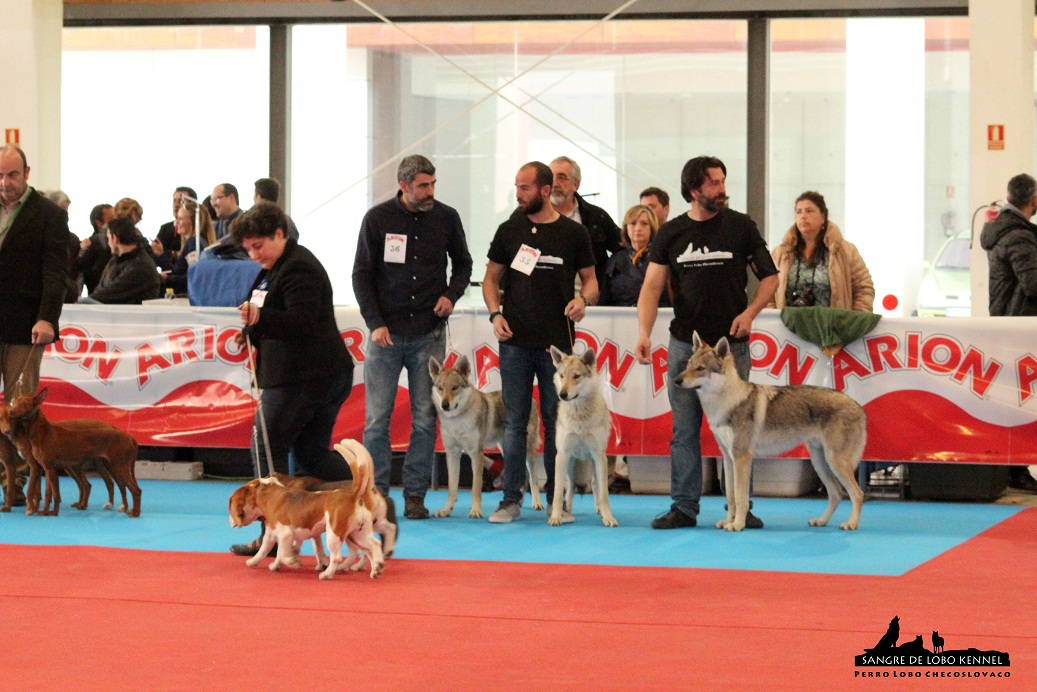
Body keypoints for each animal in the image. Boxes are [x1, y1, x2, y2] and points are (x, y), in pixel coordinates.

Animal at [6, 388, 143, 516]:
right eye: (15, 402)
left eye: (24, 404)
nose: (10, 412)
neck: (43, 433)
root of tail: (129, 437)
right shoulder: (46, 469)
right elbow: (48, 494)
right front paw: (45, 511)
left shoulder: (48, 468)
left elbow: (55, 495)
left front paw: (53, 512)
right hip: (107, 466)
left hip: (118, 467)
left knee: (135, 490)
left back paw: (134, 513)